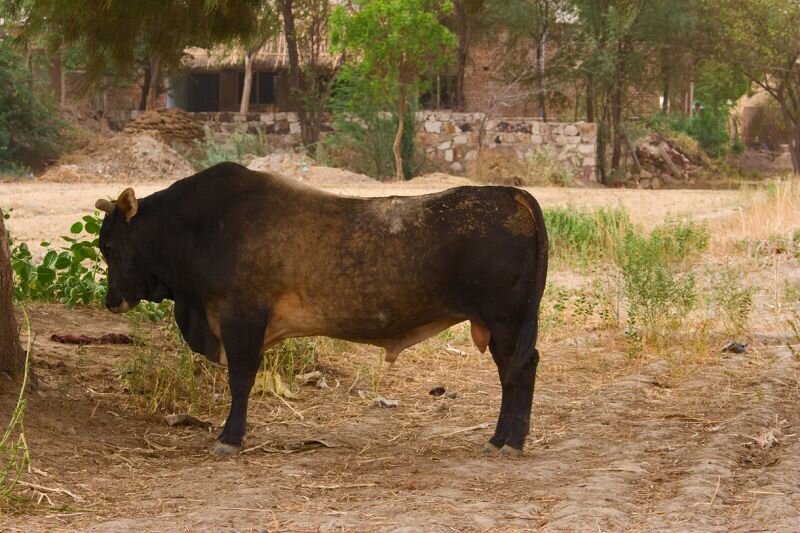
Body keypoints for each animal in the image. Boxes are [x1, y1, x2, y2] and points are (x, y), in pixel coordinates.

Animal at [92, 163, 544, 458]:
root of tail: (510, 193)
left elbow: (240, 382)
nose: (112, 301)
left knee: (520, 370)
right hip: (500, 325)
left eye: (109, 246)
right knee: (511, 373)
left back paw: (512, 441)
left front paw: (230, 439)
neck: (200, 228)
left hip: (506, 321)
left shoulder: (241, 320)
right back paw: (499, 438)